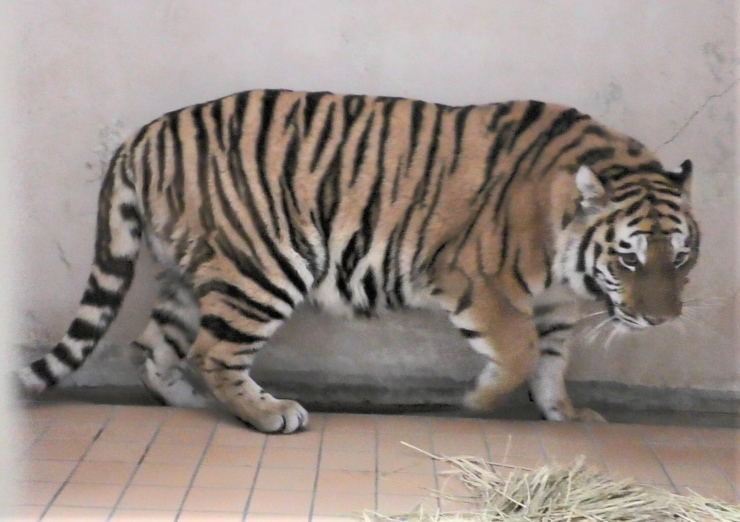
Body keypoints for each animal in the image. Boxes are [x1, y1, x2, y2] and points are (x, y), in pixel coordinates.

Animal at [15, 88, 700, 430]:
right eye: (630, 260)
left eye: (682, 259)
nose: (663, 320)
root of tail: (141, 136)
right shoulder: (478, 283)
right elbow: (519, 353)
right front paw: (478, 403)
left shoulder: (553, 305)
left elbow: (553, 362)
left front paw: (567, 415)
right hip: (262, 266)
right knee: (215, 352)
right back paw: (270, 414)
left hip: (192, 271)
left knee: (152, 347)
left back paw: (188, 404)